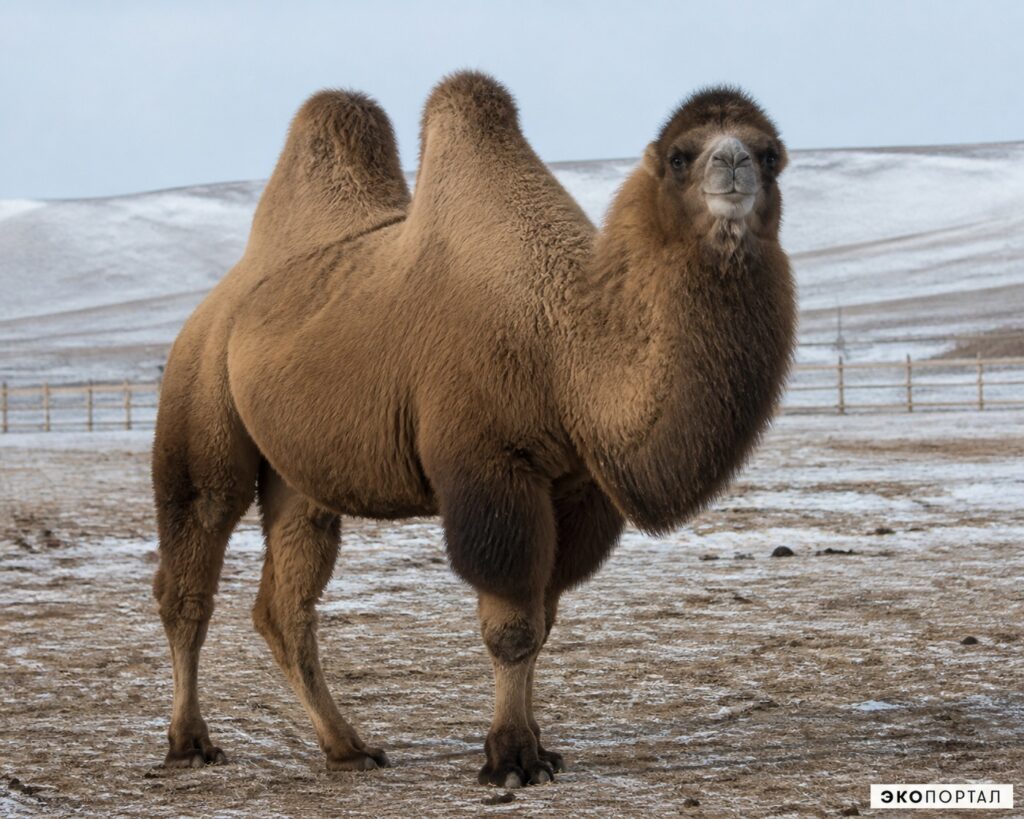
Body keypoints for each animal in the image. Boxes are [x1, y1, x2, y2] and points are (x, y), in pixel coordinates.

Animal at [152, 71, 795, 788]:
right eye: (682, 155)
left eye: (770, 152)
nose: (733, 164)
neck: (565, 345)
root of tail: (218, 305)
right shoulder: (492, 466)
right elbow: (512, 624)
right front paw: (510, 758)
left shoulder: (576, 488)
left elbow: (544, 618)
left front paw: (538, 747)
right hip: (200, 401)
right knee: (191, 568)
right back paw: (189, 741)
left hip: (297, 474)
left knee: (284, 604)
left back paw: (348, 747)